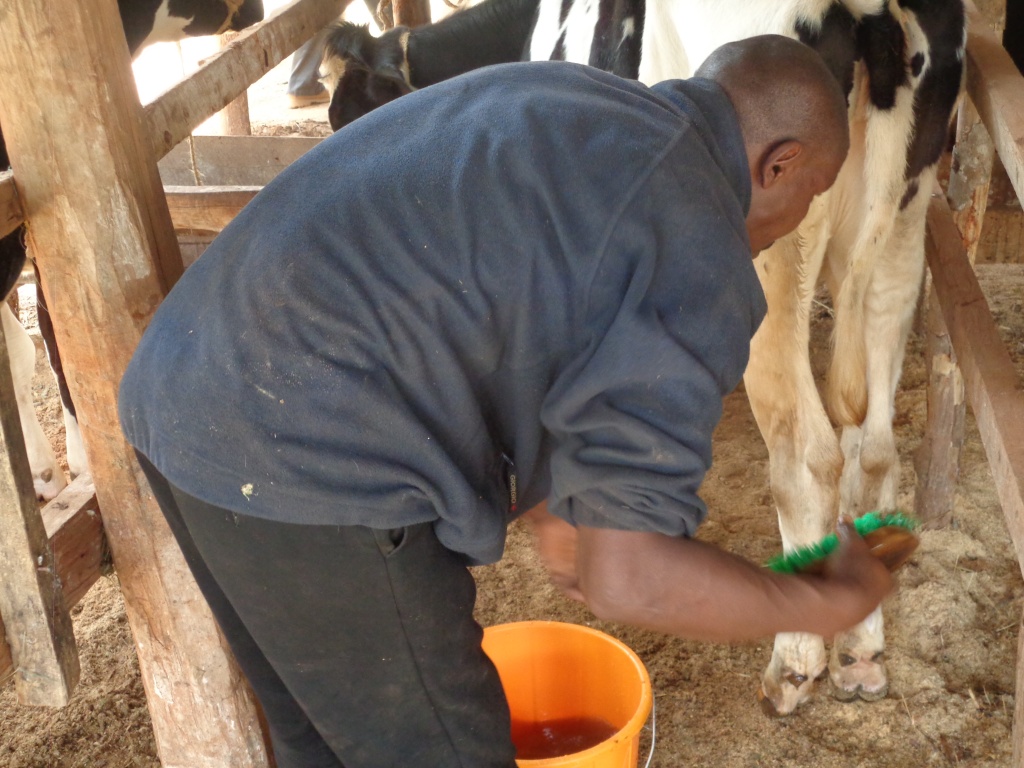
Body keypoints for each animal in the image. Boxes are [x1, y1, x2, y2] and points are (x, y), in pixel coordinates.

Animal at [319, 1, 966, 720]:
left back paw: (795, 665)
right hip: (904, 220)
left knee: (810, 458)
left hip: (774, 263)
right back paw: (860, 650)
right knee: (873, 448)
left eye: (352, 114)